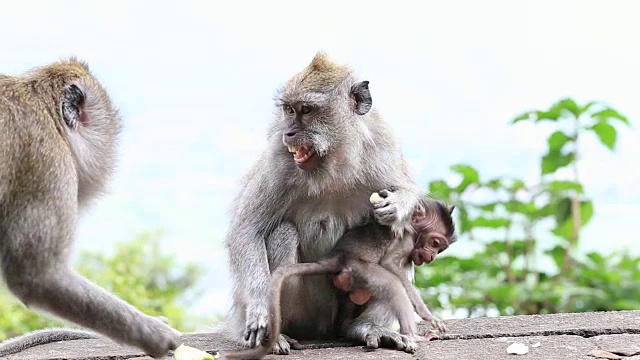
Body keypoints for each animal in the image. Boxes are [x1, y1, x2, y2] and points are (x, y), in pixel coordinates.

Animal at [221, 190, 456, 358]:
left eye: (439, 249)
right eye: (435, 243)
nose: (431, 257)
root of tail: (333, 258)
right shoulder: (406, 240)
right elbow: (391, 264)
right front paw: (428, 315)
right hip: (358, 269)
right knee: (393, 285)